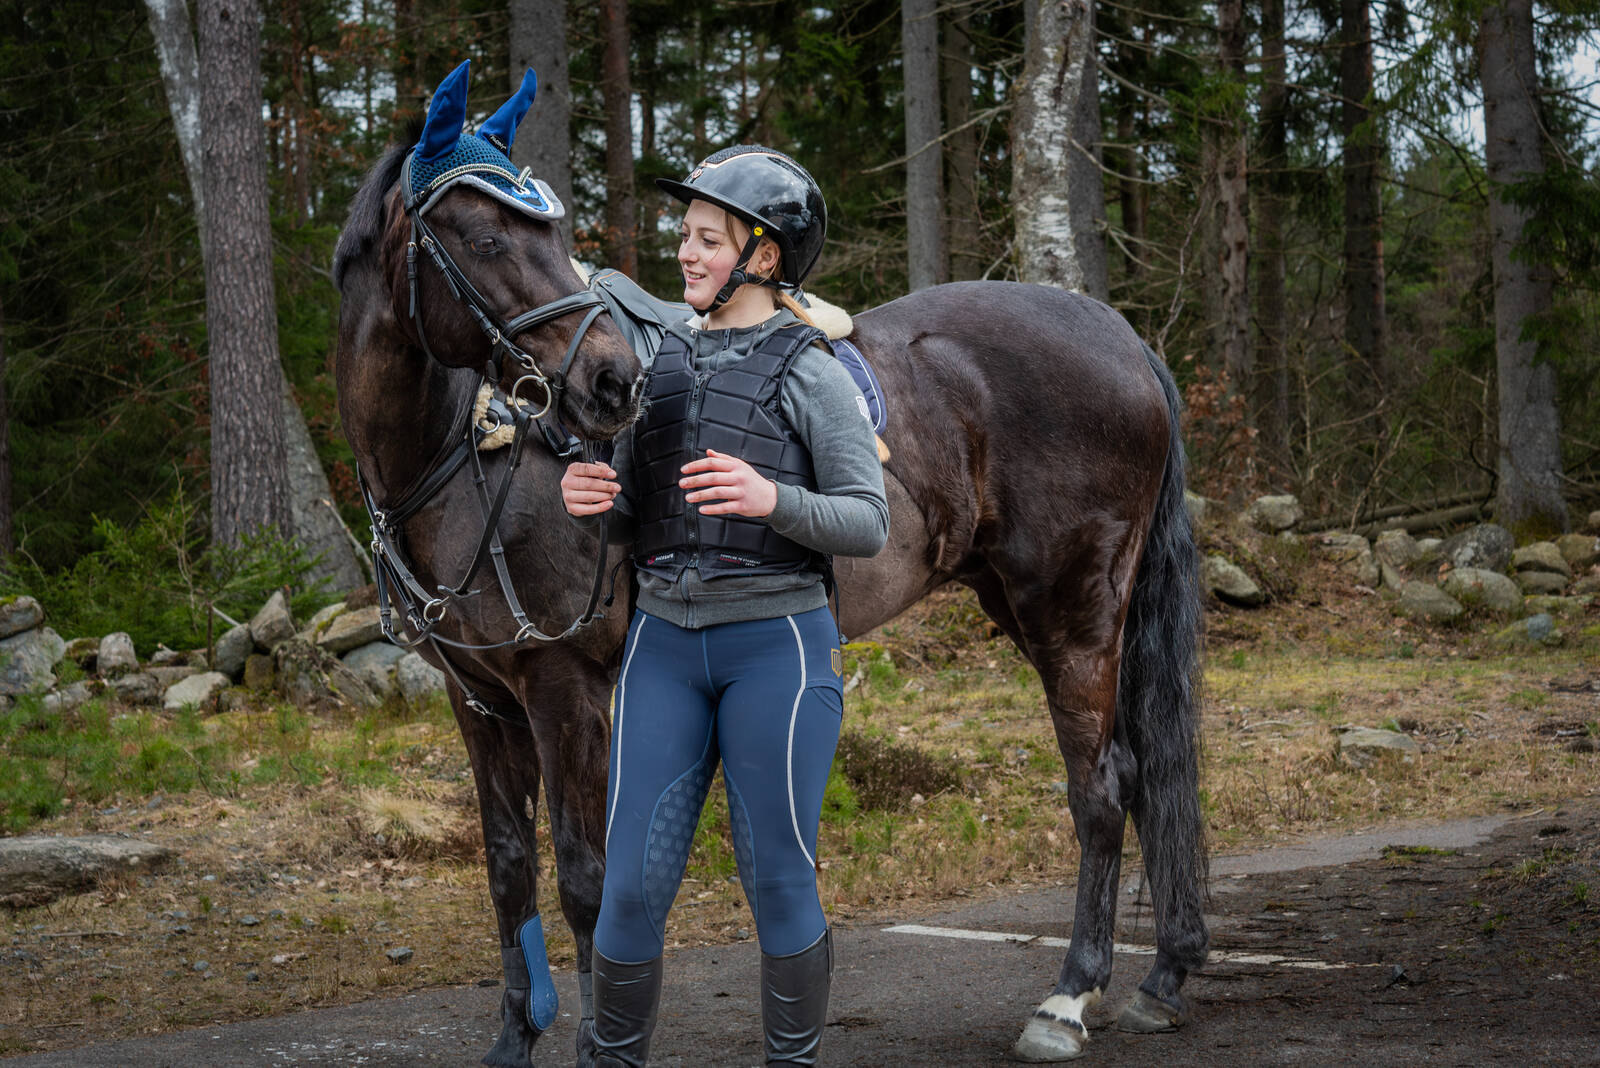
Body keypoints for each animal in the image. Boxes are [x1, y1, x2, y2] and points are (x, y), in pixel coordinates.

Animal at [333, 65, 1206, 1068]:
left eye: (548, 234)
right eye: (483, 236)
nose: (611, 384)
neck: (470, 456)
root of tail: (1121, 335)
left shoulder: (566, 690)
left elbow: (588, 882)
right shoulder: (478, 700)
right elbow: (509, 871)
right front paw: (516, 1038)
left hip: (1070, 607)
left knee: (1103, 788)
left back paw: (1068, 997)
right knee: (1146, 772)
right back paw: (1163, 974)